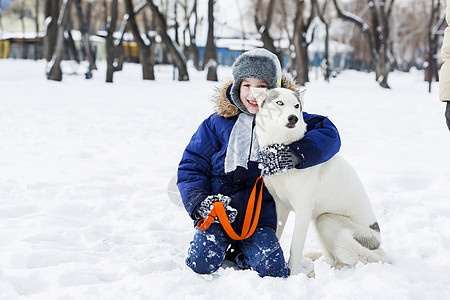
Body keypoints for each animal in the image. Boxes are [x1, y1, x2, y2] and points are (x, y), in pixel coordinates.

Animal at [250, 87, 386, 276]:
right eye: (279, 102)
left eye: (297, 106)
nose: (293, 118)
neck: (280, 147)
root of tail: (377, 243)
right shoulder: (280, 205)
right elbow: (276, 234)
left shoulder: (303, 210)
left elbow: (295, 248)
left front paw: (292, 276)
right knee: (332, 255)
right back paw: (314, 258)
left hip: (325, 220)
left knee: (345, 262)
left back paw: (314, 274)